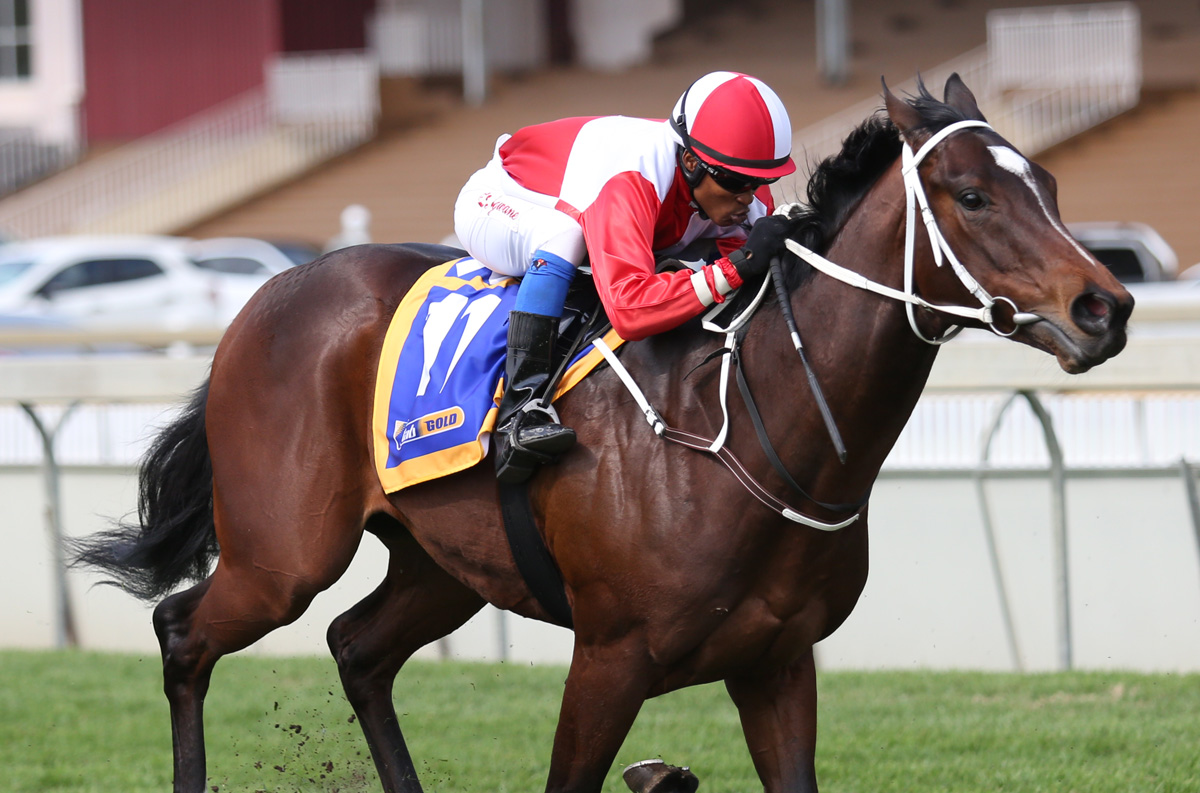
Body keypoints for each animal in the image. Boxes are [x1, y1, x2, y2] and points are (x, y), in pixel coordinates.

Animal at [73, 74, 1132, 793]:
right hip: (282, 555)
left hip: (440, 562)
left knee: (358, 648)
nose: (1107, 307)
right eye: (973, 195)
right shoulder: (610, 657)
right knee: (184, 635)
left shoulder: (778, 664)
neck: (746, 422)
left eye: (1045, 180)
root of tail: (267, 295)